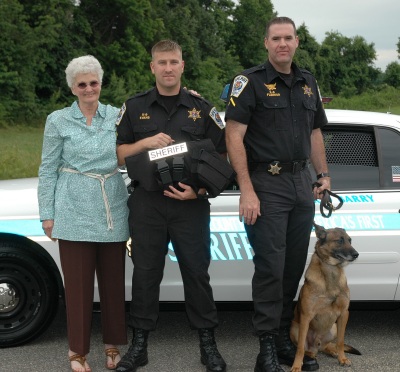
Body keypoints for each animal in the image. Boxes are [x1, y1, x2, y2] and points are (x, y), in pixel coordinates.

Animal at [290, 222, 360, 370]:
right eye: (339, 240)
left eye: (350, 240)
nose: (356, 254)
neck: (331, 271)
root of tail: (316, 344)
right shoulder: (306, 316)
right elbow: (300, 348)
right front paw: (297, 366)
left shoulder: (344, 313)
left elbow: (340, 341)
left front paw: (342, 358)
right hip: (295, 328)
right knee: (307, 349)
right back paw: (311, 355)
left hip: (333, 328)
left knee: (326, 346)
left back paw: (332, 351)